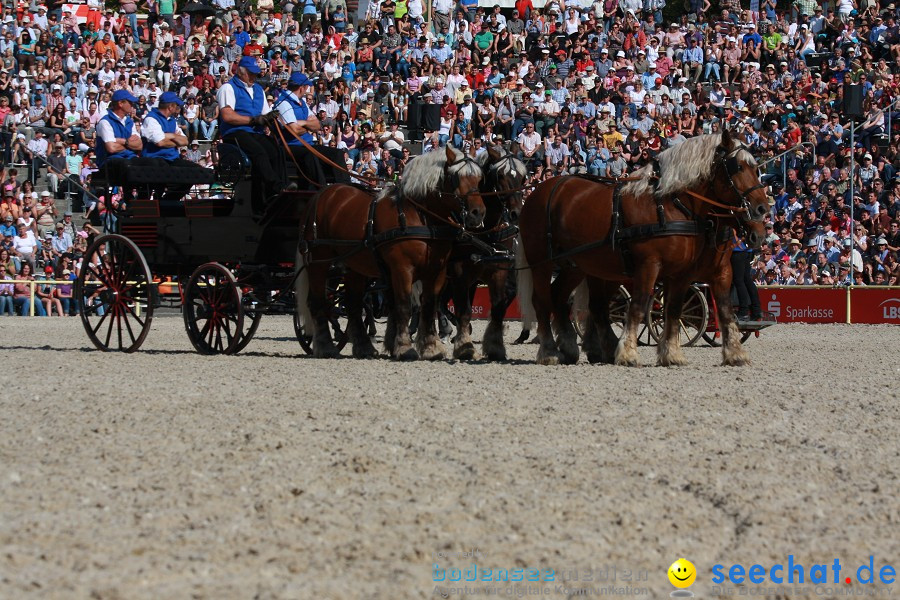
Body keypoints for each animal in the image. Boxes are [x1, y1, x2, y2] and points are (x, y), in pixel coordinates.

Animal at [298, 145, 486, 360]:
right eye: (456, 178)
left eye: (479, 179)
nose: (478, 213)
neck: (420, 217)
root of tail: (321, 194)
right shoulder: (402, 269)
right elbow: (404, 307)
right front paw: (404, 347)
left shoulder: (437, 271)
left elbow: (429, 306)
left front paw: (431, 347)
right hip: (319, 261)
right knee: (318, 302)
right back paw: (325, 346)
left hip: (354, 266)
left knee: (354, 305)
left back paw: (363, 346)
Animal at [444, 146, 528, 360]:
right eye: (500, 175)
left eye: (523, 177)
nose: (516, 213)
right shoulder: (460, 274)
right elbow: (464, 310)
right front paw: (464, 346)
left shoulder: (498, 271)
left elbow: (498, 308)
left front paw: (495, 347)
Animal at [516, 129, 768, 368]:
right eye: (738, 167)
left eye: (756, 168)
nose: (762, 210)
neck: (671, 206)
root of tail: (539, 191)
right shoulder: (649, 265)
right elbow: (638, 306)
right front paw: (628, 353)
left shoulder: (693, 273)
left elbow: (691, 310)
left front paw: (677, 354)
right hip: (542, 261)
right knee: (543, 301)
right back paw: (550, 351)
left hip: (577, 265)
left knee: (563, 298)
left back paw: (572, 347)